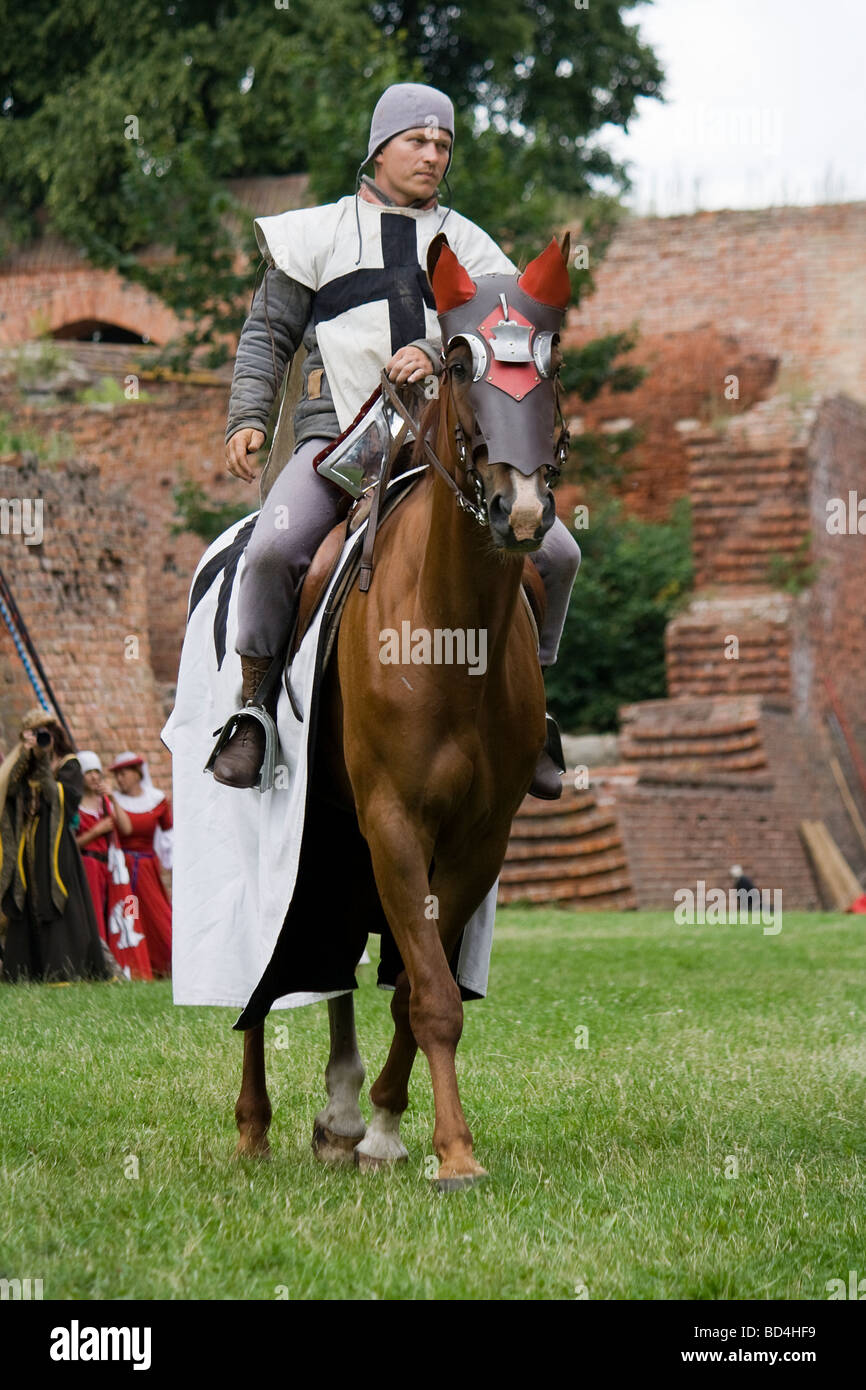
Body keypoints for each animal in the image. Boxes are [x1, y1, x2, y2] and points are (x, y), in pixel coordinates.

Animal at [233, 233, 572, 1189]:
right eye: (459, 360)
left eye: (553, 359)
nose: (521, 507)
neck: (451, 638)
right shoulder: (393, 820)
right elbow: (429, 988)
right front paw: (452, 1152)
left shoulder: (476, 839)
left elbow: (421, 989)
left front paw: (390, 1126)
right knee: (261, 980)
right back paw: (254, 1123)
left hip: (338, 841)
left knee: (340, 968)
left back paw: (342, 1116)